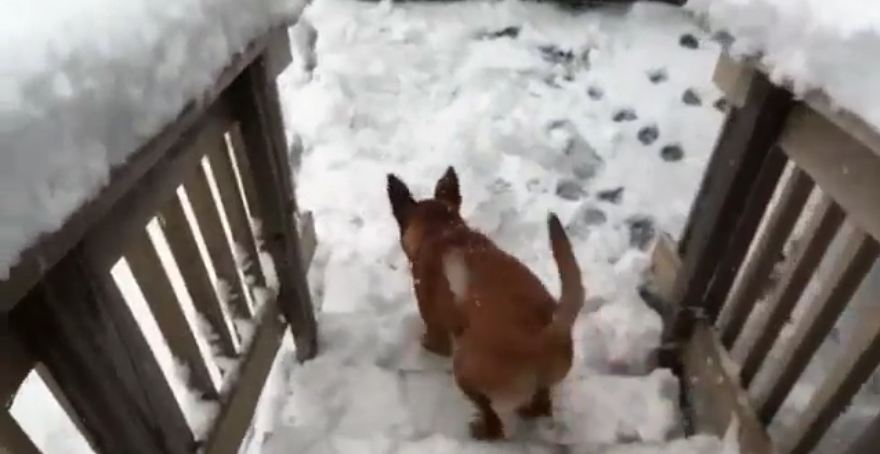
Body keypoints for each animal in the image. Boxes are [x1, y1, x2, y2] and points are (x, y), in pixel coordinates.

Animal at [386, 167, 584, 440]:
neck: (442, 229)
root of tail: (544, 338)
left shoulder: (436, 328)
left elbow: (433, 340)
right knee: (542, 401)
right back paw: (532, 411)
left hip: (464, 368)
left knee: (492, 416)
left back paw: (484, 429)